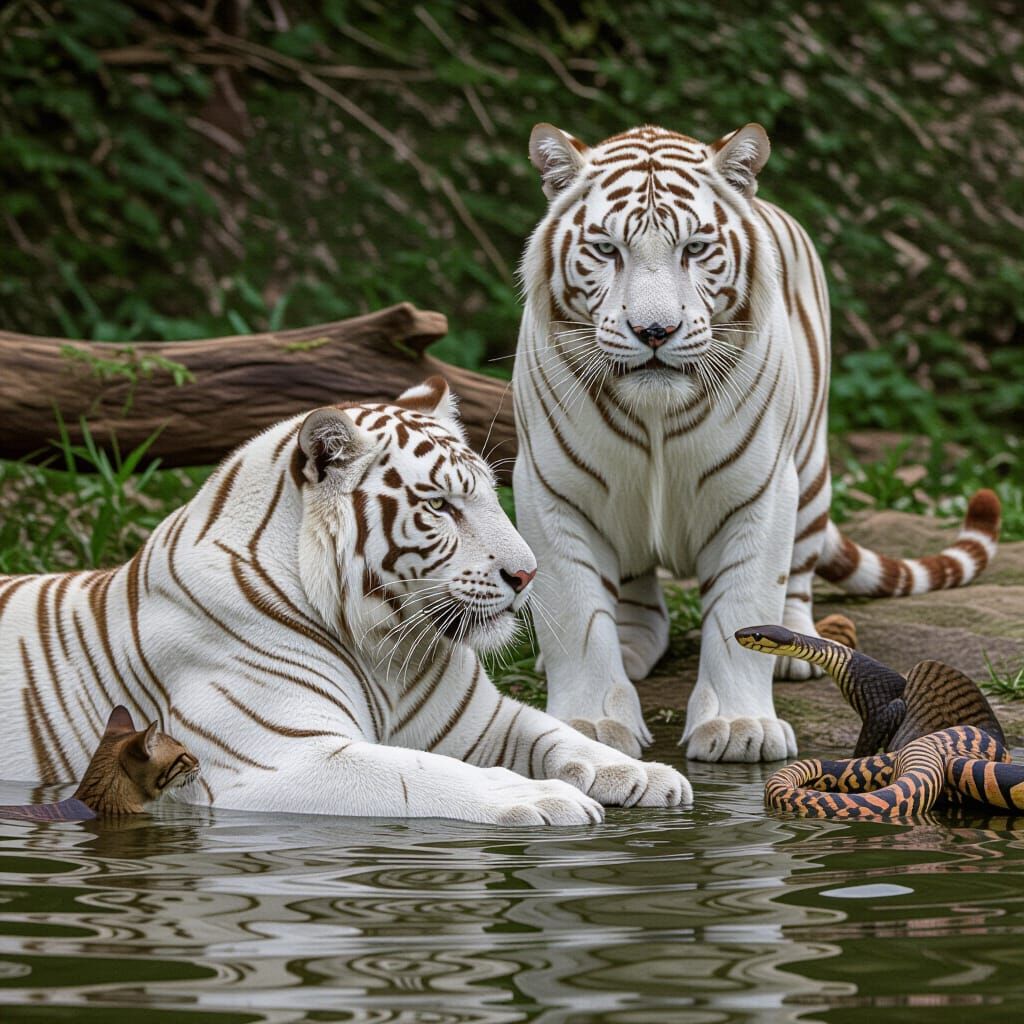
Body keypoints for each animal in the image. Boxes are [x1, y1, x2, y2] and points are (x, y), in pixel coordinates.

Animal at [511, 122, 1001, 764]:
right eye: (607, 249)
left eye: (694, 248)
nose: (654, 332)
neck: (655, 413)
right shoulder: (551, 489)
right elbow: (577, 616)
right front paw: (591, 723)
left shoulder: (760, 489)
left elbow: (742, 608)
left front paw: (740, 726)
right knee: (637, 587)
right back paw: (632, 645)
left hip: (812, 470)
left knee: (801, 571)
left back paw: (801, 649)